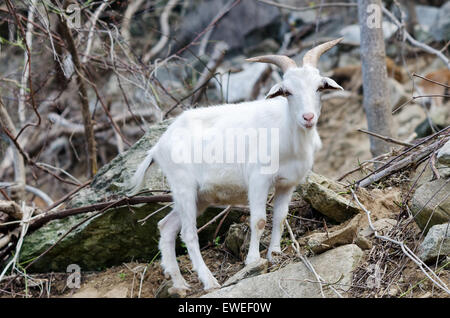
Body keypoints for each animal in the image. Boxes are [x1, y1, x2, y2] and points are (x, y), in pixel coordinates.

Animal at [128, 37, 342, 290]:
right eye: (287, 91)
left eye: (319, 87)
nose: (308, 118)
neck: (287, 132)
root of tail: (158, 146)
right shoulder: (258, 180)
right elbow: (259, 220)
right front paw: (253, 260)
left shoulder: (287, 184)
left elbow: (280, 218)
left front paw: (275, 254)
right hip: (183, 186)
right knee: (188, 233)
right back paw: (209, 281)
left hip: (199, 196)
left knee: (166, 226)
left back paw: (180, 283)